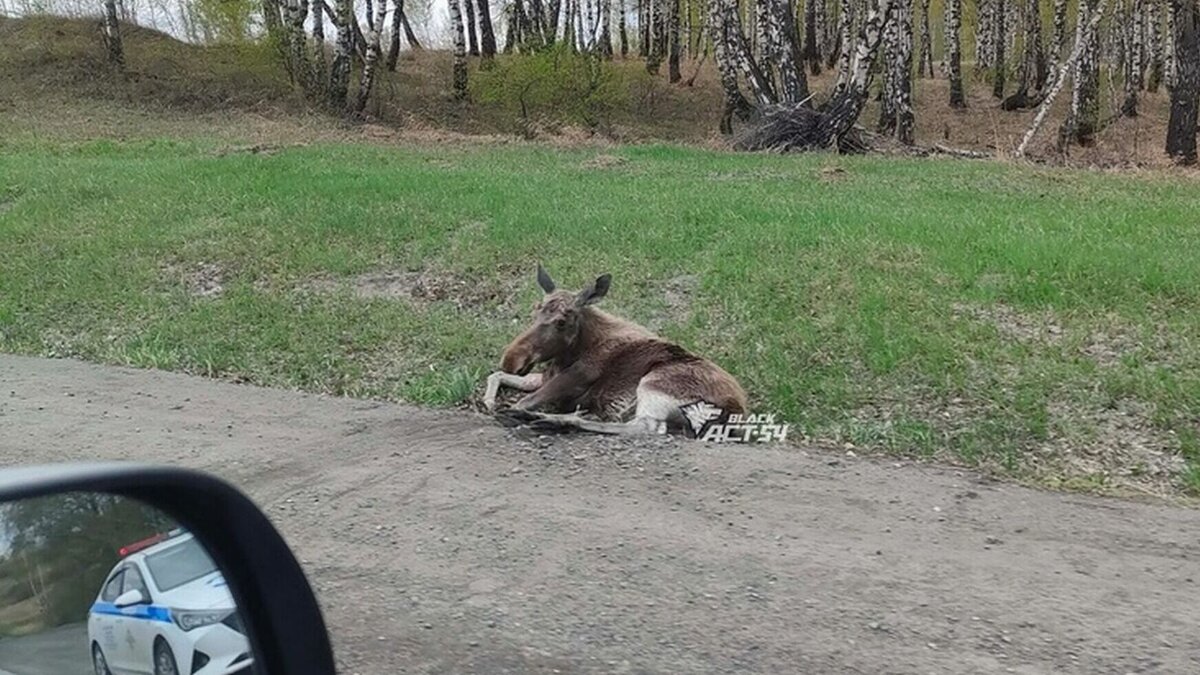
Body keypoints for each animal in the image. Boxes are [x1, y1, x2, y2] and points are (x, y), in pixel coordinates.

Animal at [480, 265, 744, 432]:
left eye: (561, 322)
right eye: (535, 310)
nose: (512, 359)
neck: (574, 351)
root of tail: (737, 410)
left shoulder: (575, 378)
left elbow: (521, 401)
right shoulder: (544, 376)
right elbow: (496, 376)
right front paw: (490, 400)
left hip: (654, 384)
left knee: (646, 428)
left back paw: (556, 419)